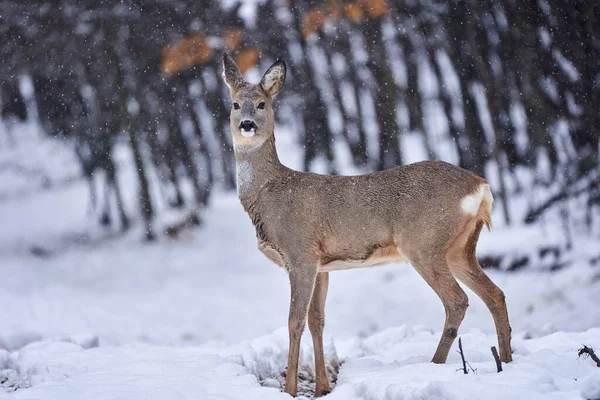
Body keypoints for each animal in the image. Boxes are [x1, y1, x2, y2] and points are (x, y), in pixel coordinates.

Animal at [223, 53, 512, 396]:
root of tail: (481, 187)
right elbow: (317, 321)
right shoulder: (322, 265)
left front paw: (290, 389)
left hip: (423, 243)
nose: (247, 124)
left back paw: (435, 364)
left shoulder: (300, 253)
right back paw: (507, 362)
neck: (268, 194)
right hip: (459, 247)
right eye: (235, 104)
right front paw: (322, 388)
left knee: (457, 301)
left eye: (262, 103)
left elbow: (294, 321)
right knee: (495, 294)